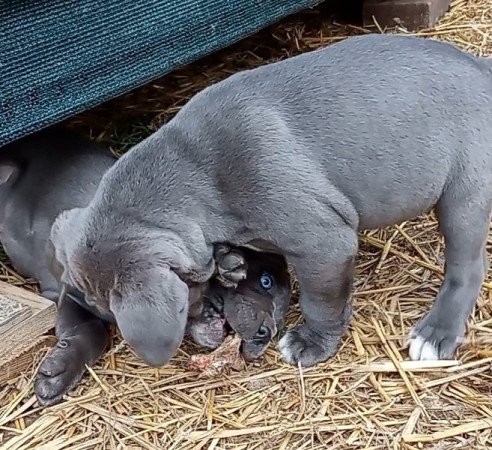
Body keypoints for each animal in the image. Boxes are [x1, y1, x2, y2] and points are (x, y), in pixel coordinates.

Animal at [47, 34, 492, 366]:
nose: (205, 325)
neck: (196, 172)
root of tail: (482, 67)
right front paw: (230, 264)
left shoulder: (323, 245)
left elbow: (320, 301)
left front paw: (311, 343)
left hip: (464, 196)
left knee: (467, 267)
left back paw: (436, 333)